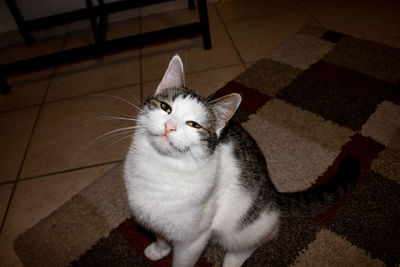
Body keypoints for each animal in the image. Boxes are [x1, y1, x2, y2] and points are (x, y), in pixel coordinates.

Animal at [123, 55, 360, 266]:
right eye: (165, 107)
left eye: (194, 125)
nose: (169, 126)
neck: (162, 166)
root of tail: (273, 192)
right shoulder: (158, 220)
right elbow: (162, 237)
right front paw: (158, 249)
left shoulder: (194, 238)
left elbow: (183, 261)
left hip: (247, 226)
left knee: (261, 237)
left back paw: (233, 260)